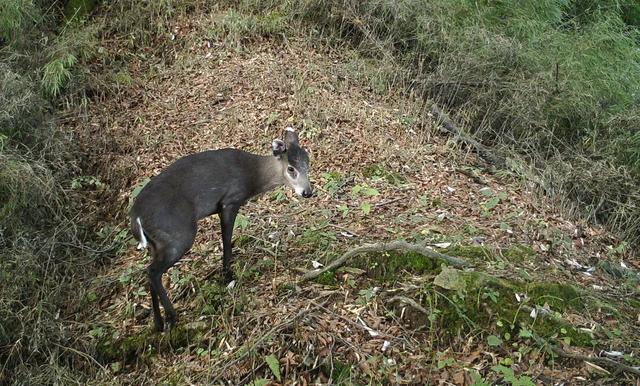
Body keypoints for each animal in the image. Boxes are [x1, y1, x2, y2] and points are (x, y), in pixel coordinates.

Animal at [130, 127, 312, 332]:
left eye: (308, 163)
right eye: (291, 168)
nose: (307, 192)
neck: (253, 176)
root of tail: (136, 217)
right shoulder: (230, 200)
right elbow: (226, 240)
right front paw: (228, 275)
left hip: (158, 243)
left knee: (149, 270)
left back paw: (158, 323)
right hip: (179, 234)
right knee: (153, 271)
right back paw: (171, 316)